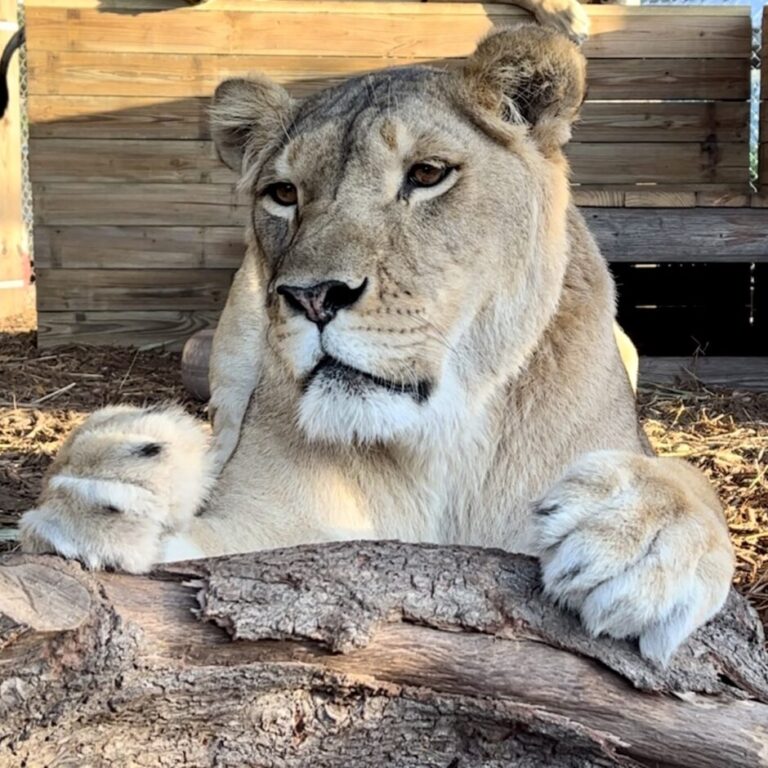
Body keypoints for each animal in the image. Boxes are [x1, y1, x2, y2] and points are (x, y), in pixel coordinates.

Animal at [19, 22, 734, 664]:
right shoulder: (274, 529)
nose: (312, 297)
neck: (443, 445)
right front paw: (99, 495)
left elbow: (690, 479)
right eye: (283, 193)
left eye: (427, 173)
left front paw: (642, 535)